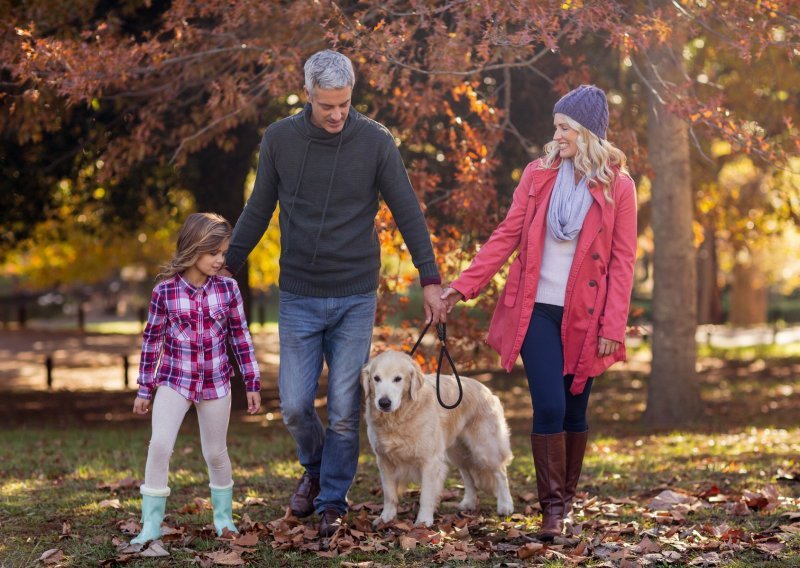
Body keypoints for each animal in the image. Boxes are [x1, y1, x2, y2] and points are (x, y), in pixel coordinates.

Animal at [360, 350, 512, 528]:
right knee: (468, 475)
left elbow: (426, 495)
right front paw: (386, 518)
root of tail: (486, 389)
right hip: (457, 453)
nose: (384, 403)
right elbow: (389, 494)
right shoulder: (384, 460)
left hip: (485, 448)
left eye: (398, 379)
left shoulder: (430, 461)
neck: (401, 416)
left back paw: (505, 505)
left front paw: (423, 521)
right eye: (376, 378)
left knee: (500, 473)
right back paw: (469, 502)